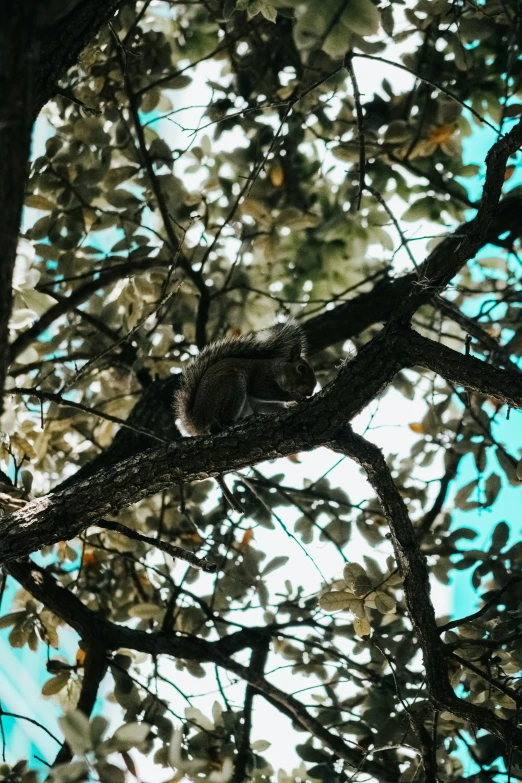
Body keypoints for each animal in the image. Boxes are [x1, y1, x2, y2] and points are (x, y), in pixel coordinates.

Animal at [174, 322, 316, 512]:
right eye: (301, 368)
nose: (310, 391)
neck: (277, 369)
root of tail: (198, 421)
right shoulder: (261, 378)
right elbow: (267, 392)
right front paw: (296, 398)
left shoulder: (261, 404)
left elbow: (270, 406)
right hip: (232, 383)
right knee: (219, 423)